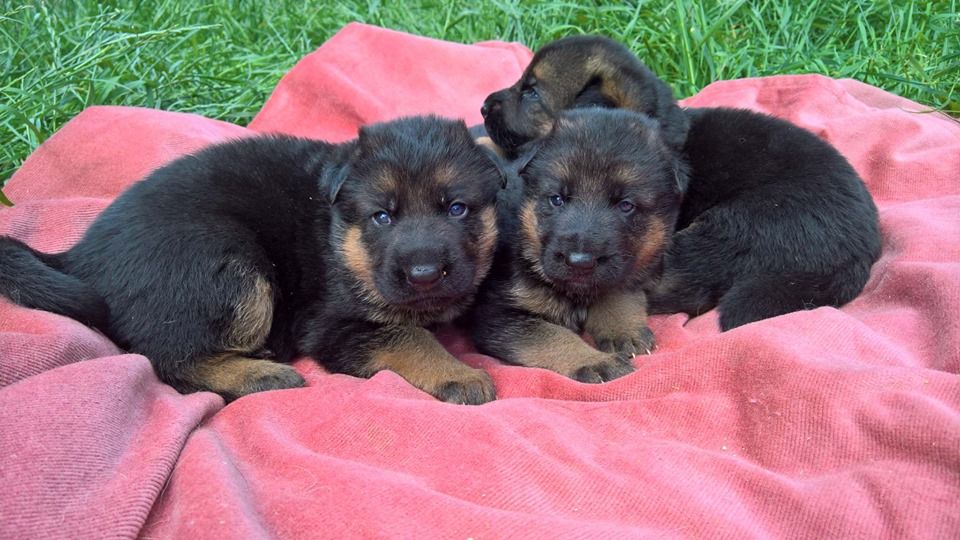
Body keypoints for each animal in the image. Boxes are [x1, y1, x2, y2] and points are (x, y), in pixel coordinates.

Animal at [0, 115, 503, 404]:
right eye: (382, 216)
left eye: (457, 208)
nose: (424, 274)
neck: (338, 236)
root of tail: (78, 258)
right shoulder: (330, 325)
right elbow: (411, 337)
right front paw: (459, 374)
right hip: (229, 263)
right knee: (165, 360)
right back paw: (263, 374)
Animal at [468, 108, 685, 382]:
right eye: (557, 199)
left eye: (626, 205)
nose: (580, 262)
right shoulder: (496, 314)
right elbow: (551, 336)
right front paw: (594, 361)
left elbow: (618, 288)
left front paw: (621, 327)